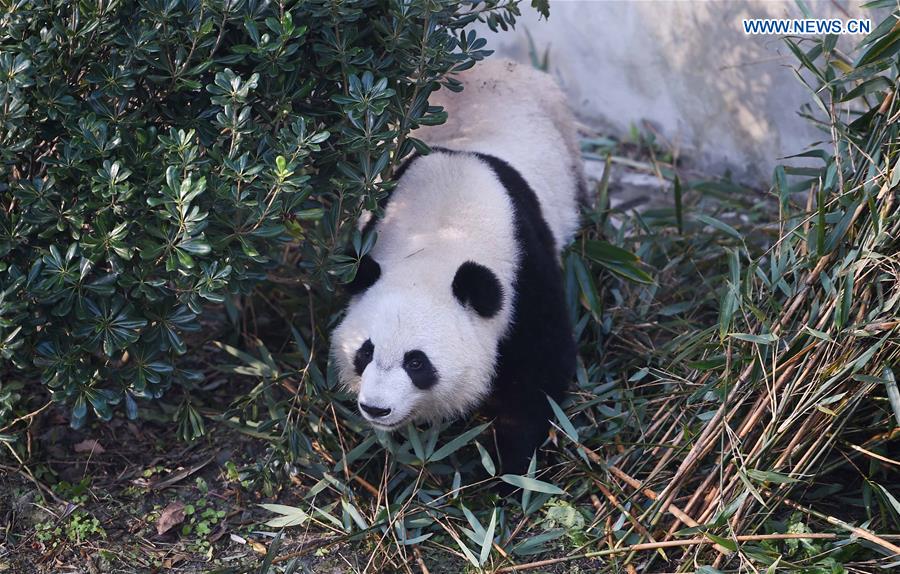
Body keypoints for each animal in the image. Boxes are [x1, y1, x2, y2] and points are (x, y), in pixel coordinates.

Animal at [332, 59, 584, 476]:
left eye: (417, 362)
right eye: (365, 352)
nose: (376, 408)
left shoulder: (524, 269)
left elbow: (540, 369)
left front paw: (511, 465)